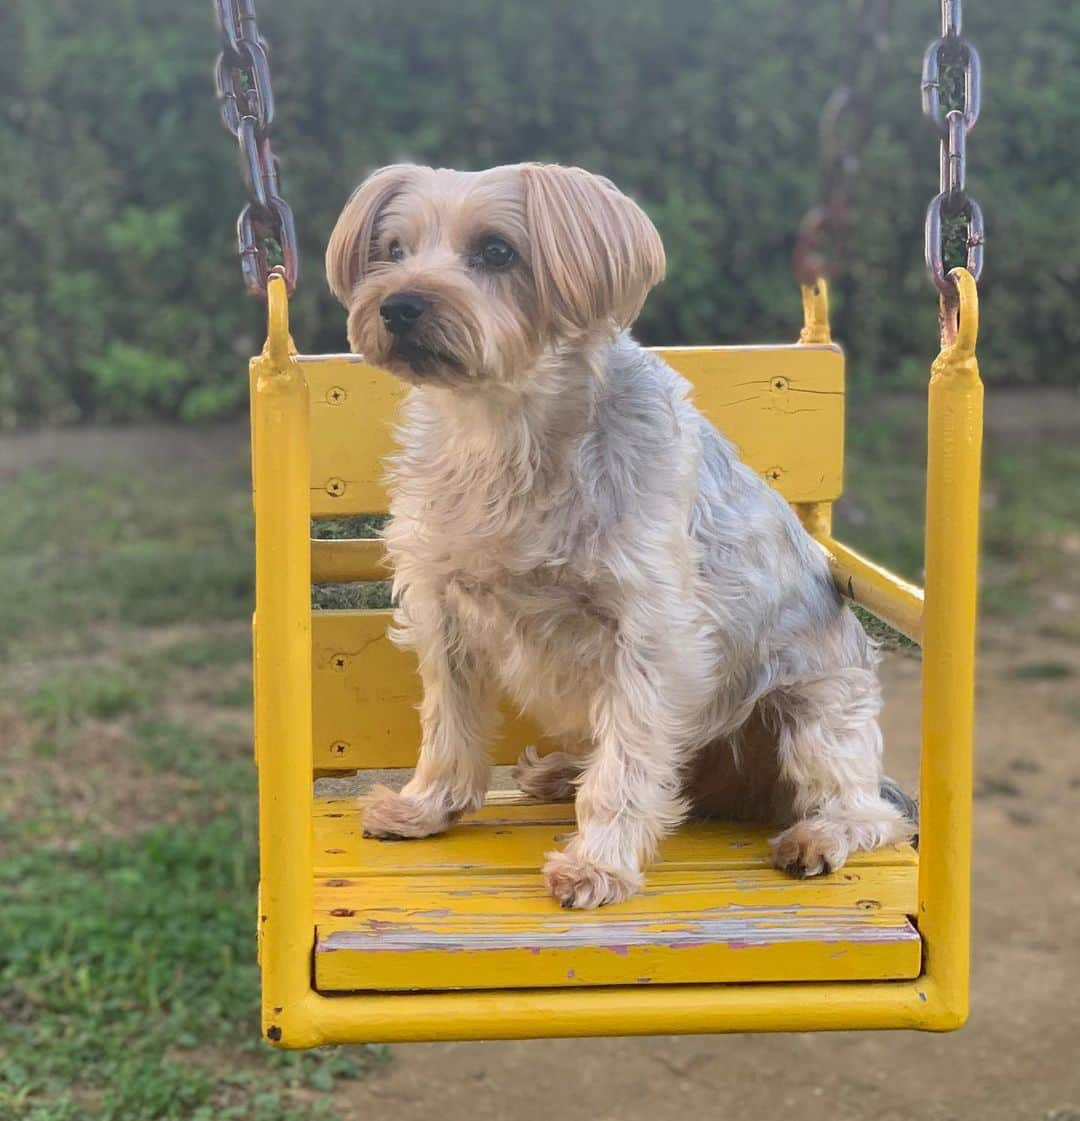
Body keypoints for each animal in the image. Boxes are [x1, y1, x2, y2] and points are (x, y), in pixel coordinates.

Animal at [325, 162, 915, 905]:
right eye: (393, 250)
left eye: (497, 251)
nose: (397, 305)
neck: (505, 428)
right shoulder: (445, 612)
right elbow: (447, 724)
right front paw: (426, 807)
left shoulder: (651, 632)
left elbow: (628, 760)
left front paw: (598, 862)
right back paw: (558, 772)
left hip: (814, 711)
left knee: (871, 811)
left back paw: (818, 835)